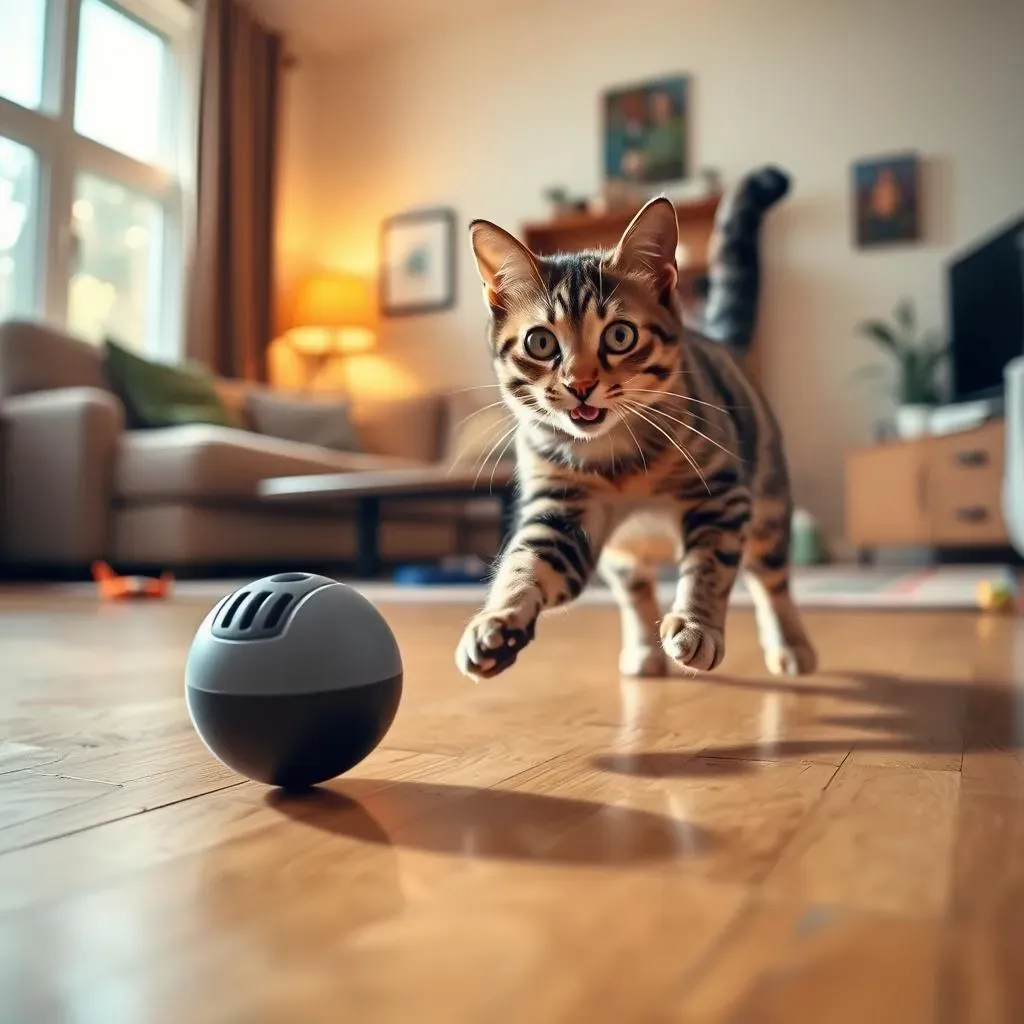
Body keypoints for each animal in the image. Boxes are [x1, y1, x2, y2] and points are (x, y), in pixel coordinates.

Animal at [458, 165, 815, 679]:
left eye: (620, 336)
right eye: (540, 342)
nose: (580, 383)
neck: (615, 457)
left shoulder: (722, 495)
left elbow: (709, 567)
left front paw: (697, 625)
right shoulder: (561, 511)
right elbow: (525, 566)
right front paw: (497, 621)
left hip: (766, 505)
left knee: (771, 579)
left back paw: (790, 644)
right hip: (623, 554)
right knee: (637, 591)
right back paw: (644, 651)